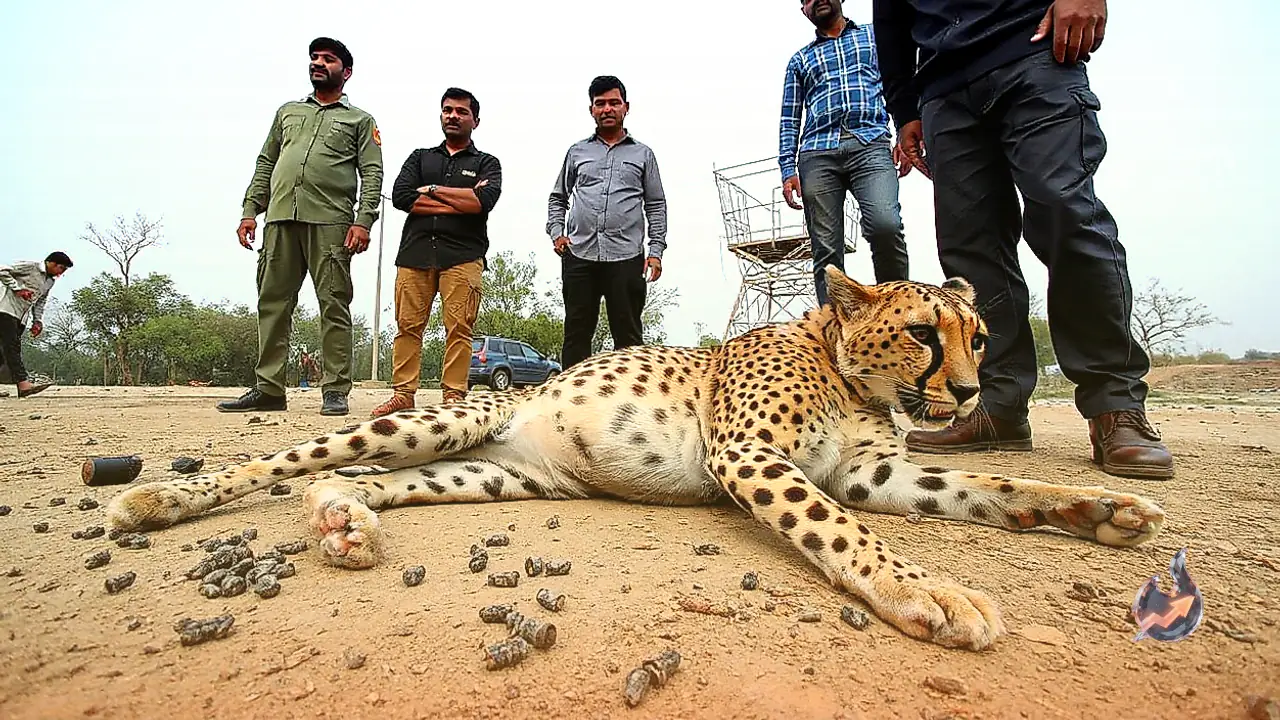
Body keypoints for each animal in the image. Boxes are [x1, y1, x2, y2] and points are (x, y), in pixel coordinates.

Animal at [104, 266, 1166, 651]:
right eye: (919, 333)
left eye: (978, 338)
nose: (969, 392)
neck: (843, 367)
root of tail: (508, 412)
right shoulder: (750, 456)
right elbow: (842, 532)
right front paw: (929, 591)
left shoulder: (880, 472)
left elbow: (987, 484)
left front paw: (1096, 510)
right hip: (420, 425)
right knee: (287, 459)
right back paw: (153, 502)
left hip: (481, 467)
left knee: (363, 482)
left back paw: (342, 518)